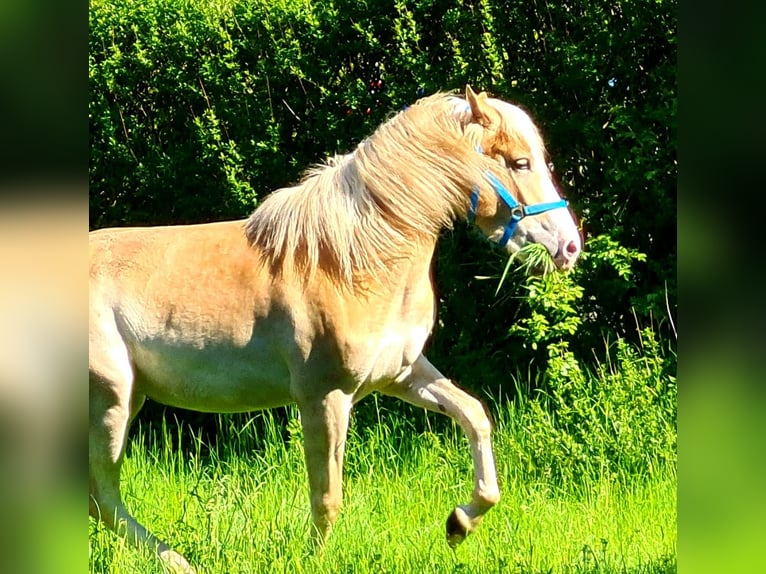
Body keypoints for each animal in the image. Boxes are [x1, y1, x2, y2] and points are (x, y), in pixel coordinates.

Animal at [90, 84, 584, 572]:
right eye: (520, 162)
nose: (569, 247)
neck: (352, 259)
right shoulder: (325, 397)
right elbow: (327, 498)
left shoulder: (401, 374)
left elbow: (475, 416)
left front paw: (460, 523)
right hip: (112, 400)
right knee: (102, 497)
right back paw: (178, 562)